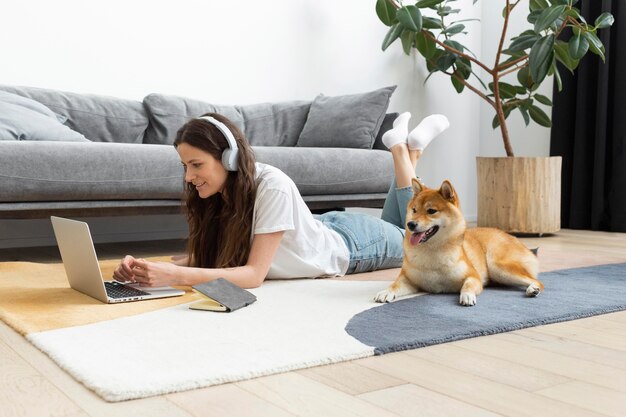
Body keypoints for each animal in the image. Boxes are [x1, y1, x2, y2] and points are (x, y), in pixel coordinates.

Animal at [376, 178, 540, 306]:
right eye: (414, 210)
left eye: (431, 211)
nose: (410, 224)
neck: (432, 251)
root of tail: (512, 237)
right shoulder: (409, 279)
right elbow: (395, 285)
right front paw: (386, 292)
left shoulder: (473, 276)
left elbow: (468, 284)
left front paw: (467, 295)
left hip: (497, 266)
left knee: (538, 282)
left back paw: (532, 289)